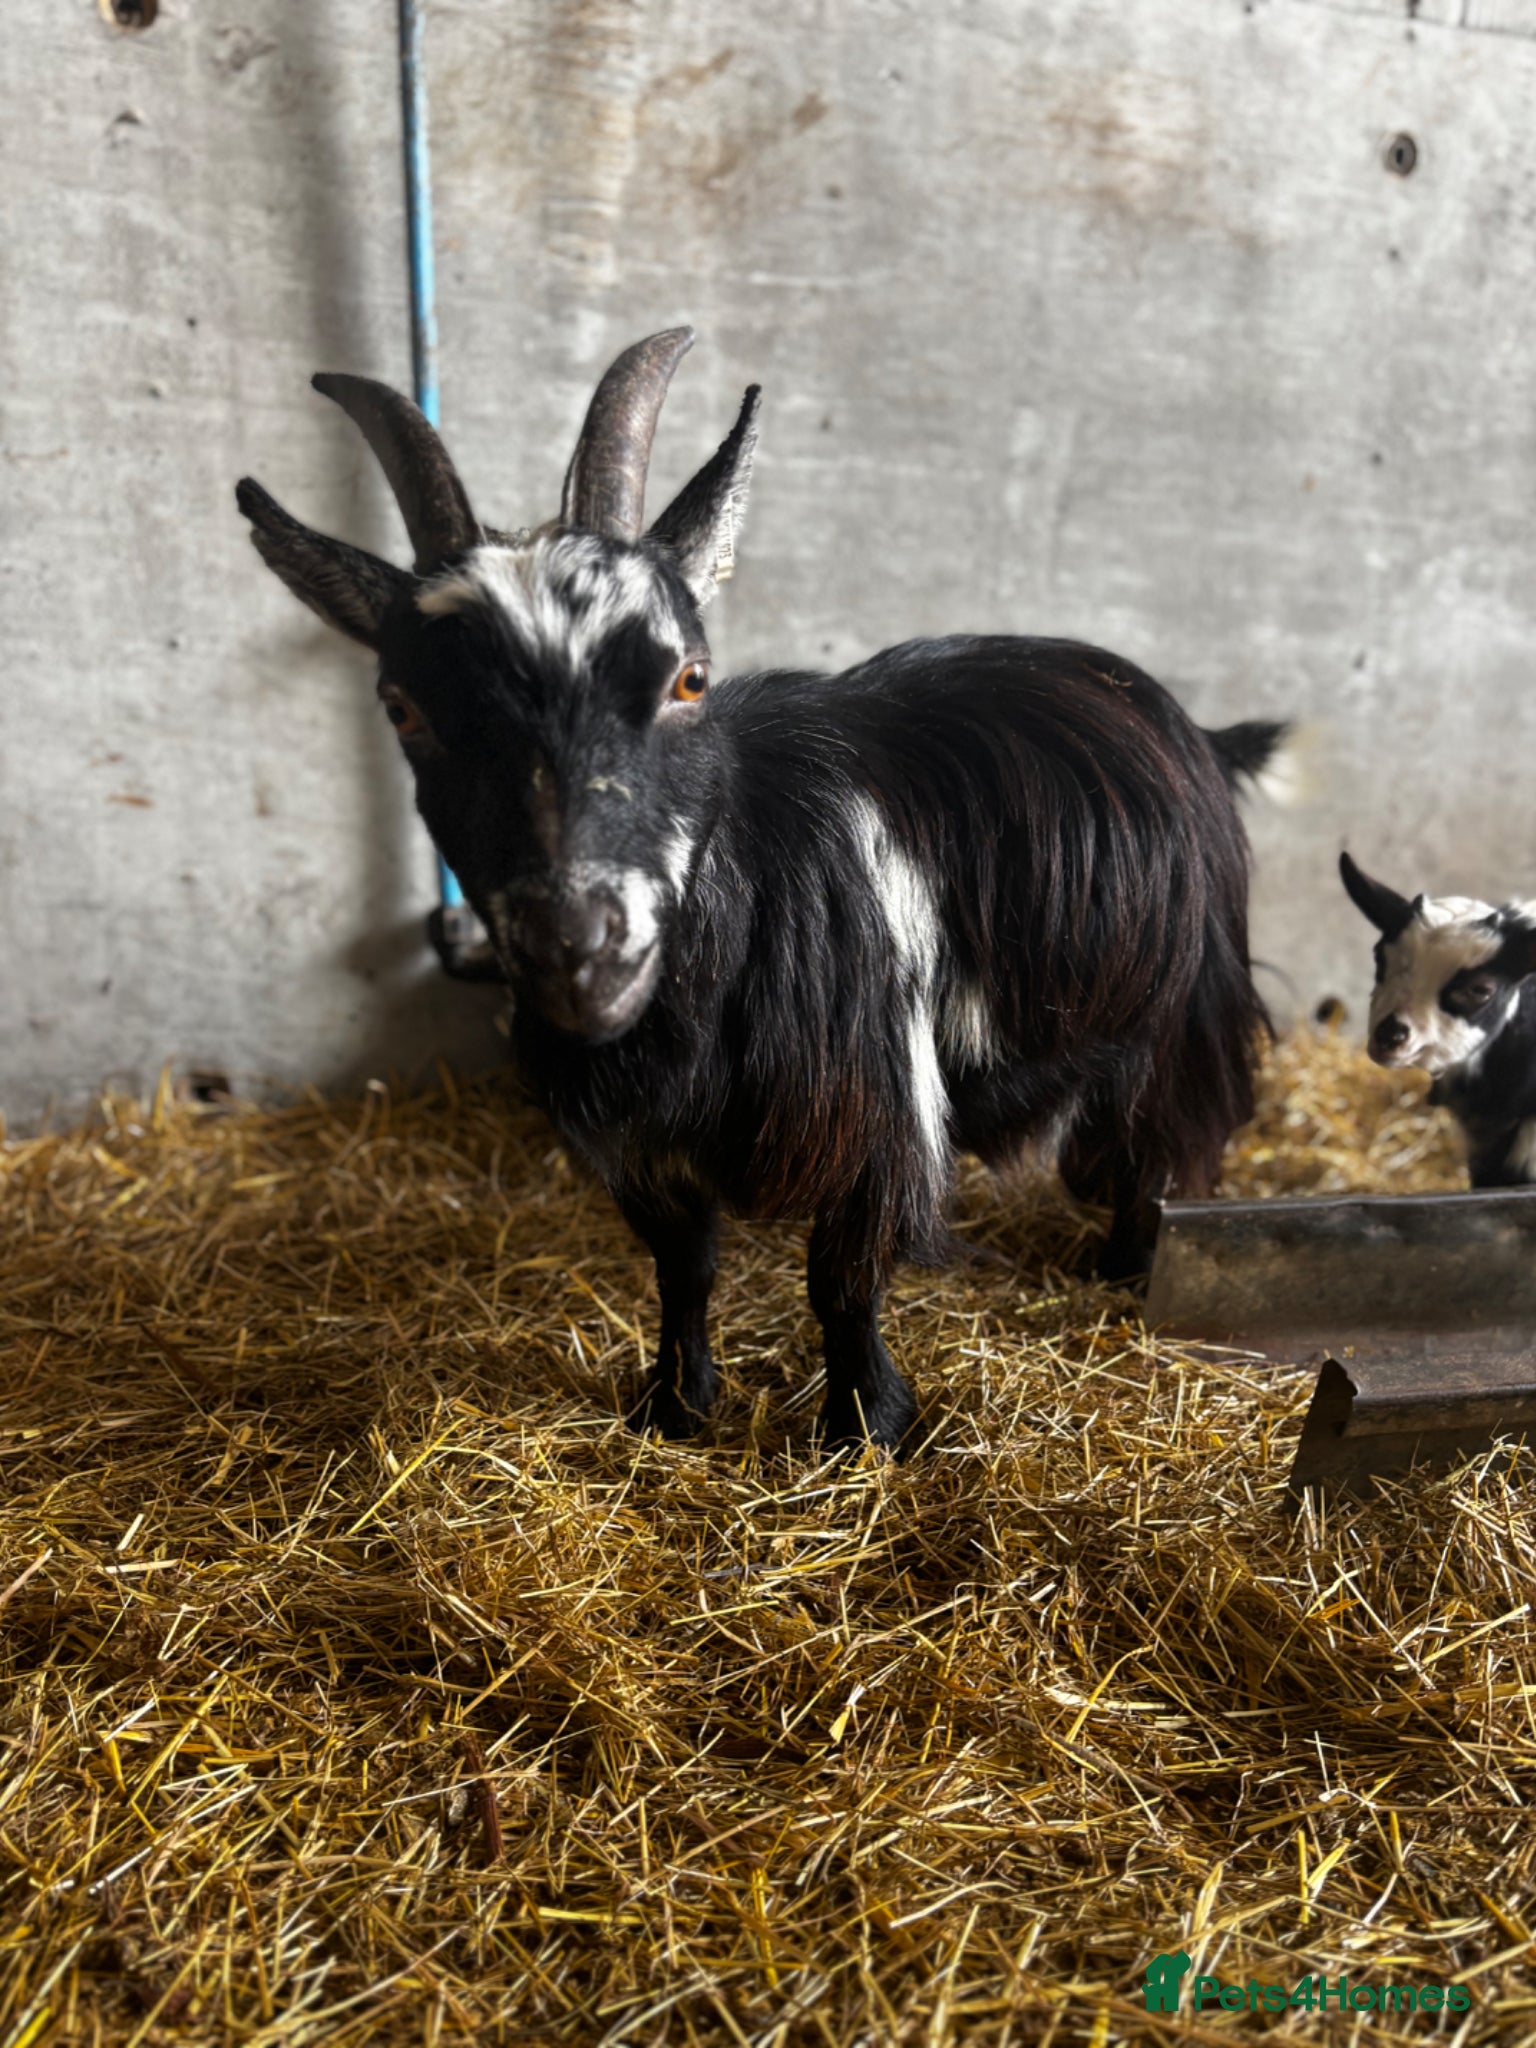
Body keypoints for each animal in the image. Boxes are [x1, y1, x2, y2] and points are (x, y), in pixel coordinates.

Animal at [238, 328, 1286, 1448]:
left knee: (1162, 1135)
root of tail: (1184, 720)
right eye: (403, 705)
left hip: (1183, 1005)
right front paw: (674, 1403)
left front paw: (864, 1425)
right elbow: (683, 1267)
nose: (581, 949)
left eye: (689, 676)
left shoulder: (871, 1108)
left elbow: (842, 1280)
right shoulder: (646, 1144)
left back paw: (1125, 1266)